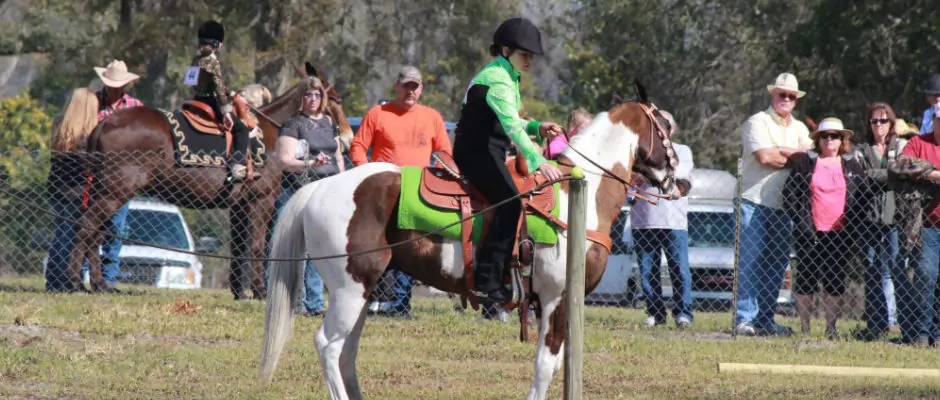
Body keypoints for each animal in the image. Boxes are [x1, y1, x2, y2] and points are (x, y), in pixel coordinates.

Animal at [66, 62, 352, 298]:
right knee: (87, 228)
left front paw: (239, 292)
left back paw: (98, 285)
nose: (348, 138)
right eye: (336, 99)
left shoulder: (240, 205)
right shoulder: (262, 200)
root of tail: (104, 124)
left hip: (108, 192)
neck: (272, 134)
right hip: (113, 192)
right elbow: (257, 246)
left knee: (95, 234)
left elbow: (239, 248)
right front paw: (259, 291)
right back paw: (75, 282)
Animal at [258, 93, 692, 396]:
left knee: (346, 353)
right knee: (329, 347)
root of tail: (319, 188)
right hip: (351, 289)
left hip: (360, 292)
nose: (682, 181)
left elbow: (561, 365)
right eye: (666, 129)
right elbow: (545, 366)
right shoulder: (557, 298)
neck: (577, 194)